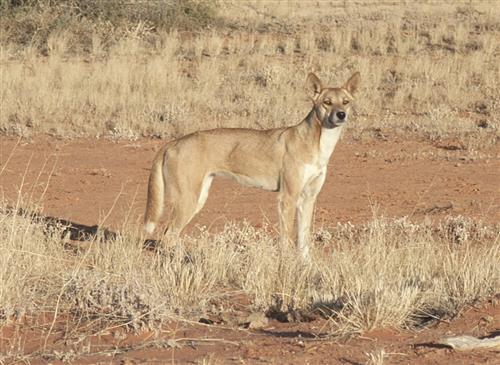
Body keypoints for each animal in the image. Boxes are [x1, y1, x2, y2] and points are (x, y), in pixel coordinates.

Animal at [144, 72, 360, 258]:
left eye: (345, 102)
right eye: (327, 102)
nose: (341, 114)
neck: (319, 143)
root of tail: (172, 142)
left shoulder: (308, 198)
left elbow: (304, 241)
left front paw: (306, 265)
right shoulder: (287, 198)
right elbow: (286, 240)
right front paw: (286, 264)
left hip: (198, 198)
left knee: (169, 235)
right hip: (187, 200)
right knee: (167, 237)